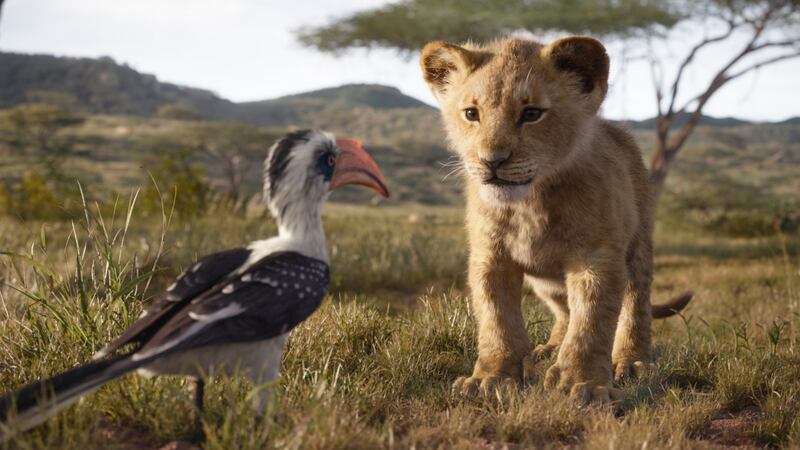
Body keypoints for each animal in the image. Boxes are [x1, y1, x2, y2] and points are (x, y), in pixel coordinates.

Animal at [419, 36, 692, 403]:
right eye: (471, 114)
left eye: (532, 113)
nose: (492, 161)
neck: (529, 203)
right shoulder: (490, 258)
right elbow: (496, 319)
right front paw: (491, 379)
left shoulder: (596, 257)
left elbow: (592, 321)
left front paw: (583, 384)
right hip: (545, 281)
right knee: (564, 310)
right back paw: (548, 350)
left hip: (638, 246)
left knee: (636, 304)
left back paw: (632, 362)